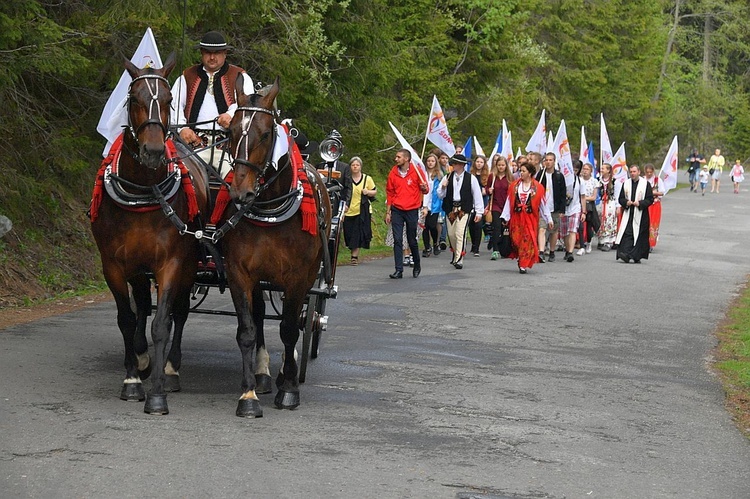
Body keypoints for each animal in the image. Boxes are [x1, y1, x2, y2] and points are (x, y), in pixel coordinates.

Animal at [90, 52, 209, 416]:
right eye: (135, 100)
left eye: (169, 100)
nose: (154, 151)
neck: (142, 191)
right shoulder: (114, 265)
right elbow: (128, 319)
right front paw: (132, 379)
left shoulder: (170, 263)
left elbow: (162, 323)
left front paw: (157, 393)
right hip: (137, 268)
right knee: (142, 306)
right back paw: (142, 359)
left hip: (189, 264)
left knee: (179, 313)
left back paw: (169, 369)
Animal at [220, 76, 332, 416]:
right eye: (230, 132)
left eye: (266, 133)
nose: (240, 193)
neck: (270, 208)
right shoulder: (239, 273)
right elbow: (247, 330)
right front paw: (248, 395)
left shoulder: (298, 277)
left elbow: (289, 329)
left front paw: (290, 389)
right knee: (258, 316)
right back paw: (263, 373)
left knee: (295, 320)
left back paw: (285, 370)